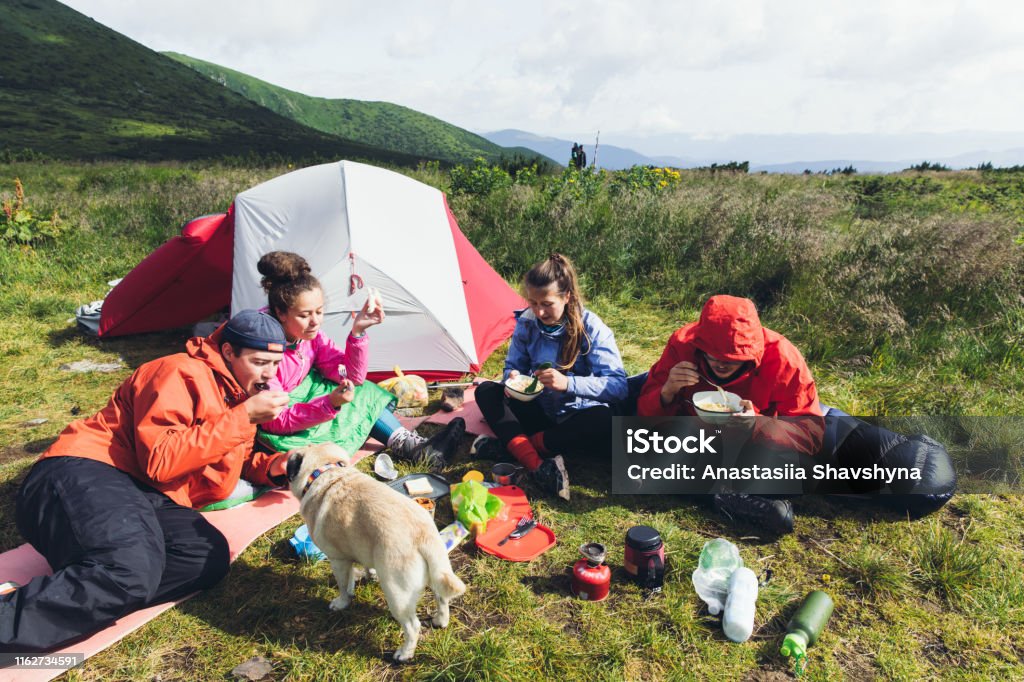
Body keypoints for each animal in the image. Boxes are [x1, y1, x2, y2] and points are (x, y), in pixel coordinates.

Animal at [286, 440, 466, 659]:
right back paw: (441, 621)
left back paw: (404, 654)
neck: (326, 471)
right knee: (442, 597)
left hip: (397, 593)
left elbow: (344, 585)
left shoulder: (338, 560)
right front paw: (368, 574)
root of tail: (422, 534)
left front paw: (342, 601)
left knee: (412, 626)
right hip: (437, 571)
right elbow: (364, 567)